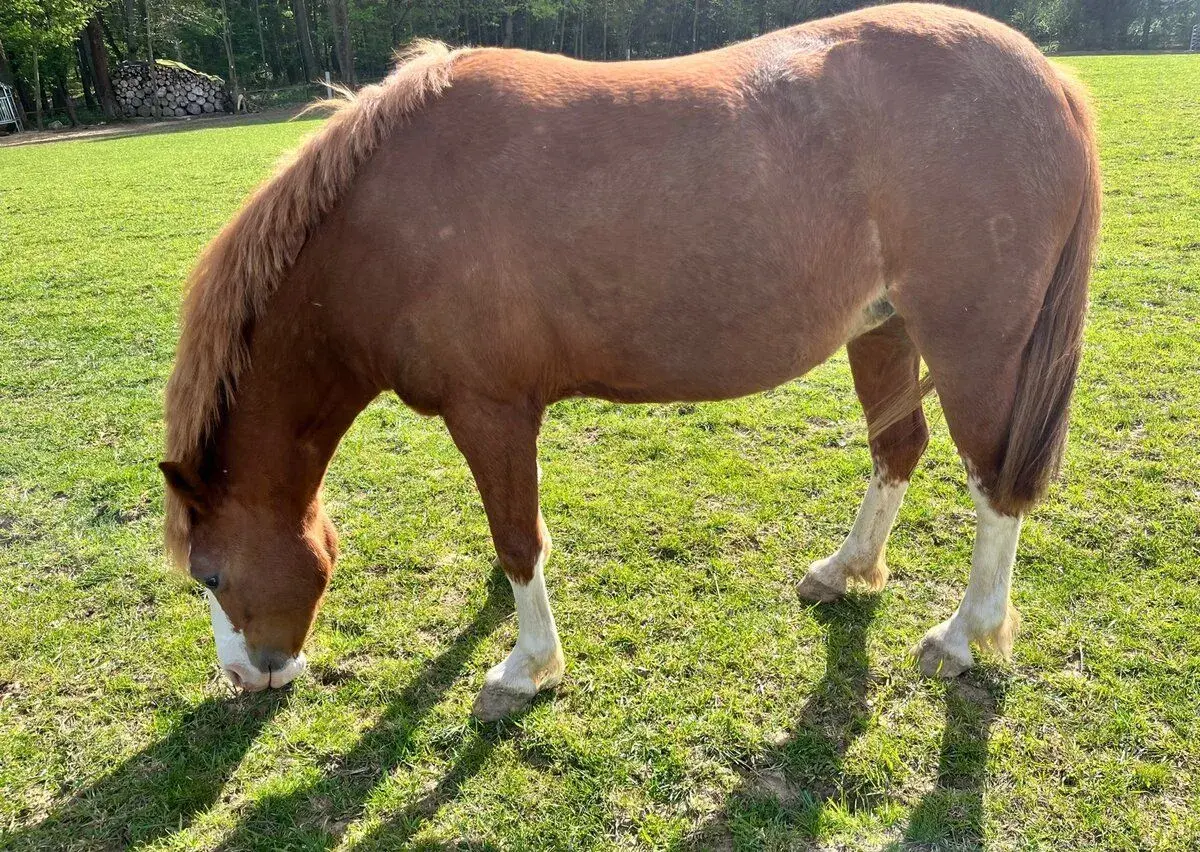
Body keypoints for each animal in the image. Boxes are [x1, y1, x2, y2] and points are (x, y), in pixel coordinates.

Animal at [160, 2, 1099, 720]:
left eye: (209, 572)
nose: (245, 677)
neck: (384, 224)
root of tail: (1048, 78)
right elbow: (519, 531)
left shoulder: (489, 409)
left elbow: (517, 539)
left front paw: (525, 667)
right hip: (884, 328)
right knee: (898, 450)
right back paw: (845, 570)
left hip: (976, 345)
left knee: (996, 485)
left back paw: (963, 636)